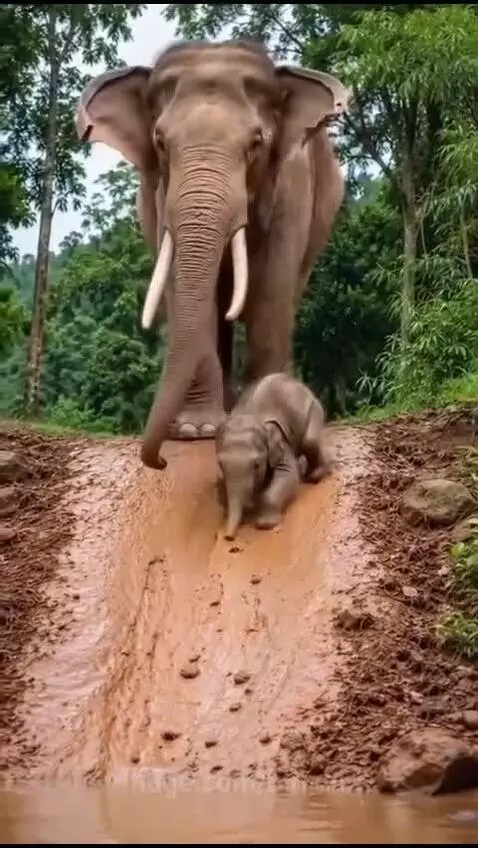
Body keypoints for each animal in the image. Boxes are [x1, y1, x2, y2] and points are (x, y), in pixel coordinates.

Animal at [75, 39, 350, 471]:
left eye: (256, 143)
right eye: (160, 142)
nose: (160, 461)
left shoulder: (292, 183)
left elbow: (271, 289)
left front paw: (260, 414)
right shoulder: (160, 198)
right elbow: (183, 289)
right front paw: (194, 431)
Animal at [215, 372, 331, 540]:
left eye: (256, 465)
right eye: (220, 464)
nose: (228, 537)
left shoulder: (281, 443)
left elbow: (288, 475)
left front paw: (265, 524)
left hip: (314, 408)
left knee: (310, 441)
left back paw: (314, 475)